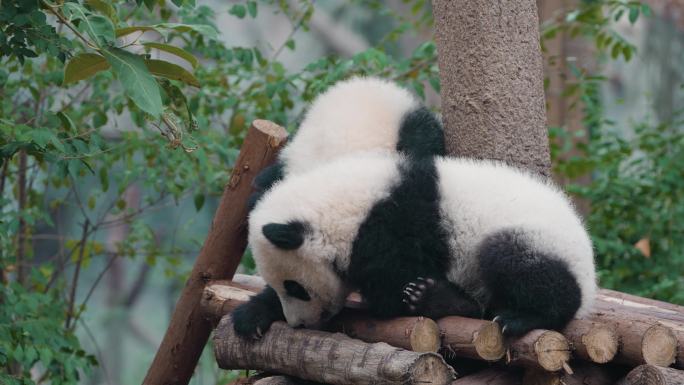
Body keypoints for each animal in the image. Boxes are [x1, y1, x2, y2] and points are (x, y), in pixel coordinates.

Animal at [232, 152, 596, 338]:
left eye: (296, 287)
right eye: (283, 287)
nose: (300, 324)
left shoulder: (396, 227)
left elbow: (389, 297)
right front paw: (252, 315)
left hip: (536, 237)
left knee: (514, 263)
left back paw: (514, 316)